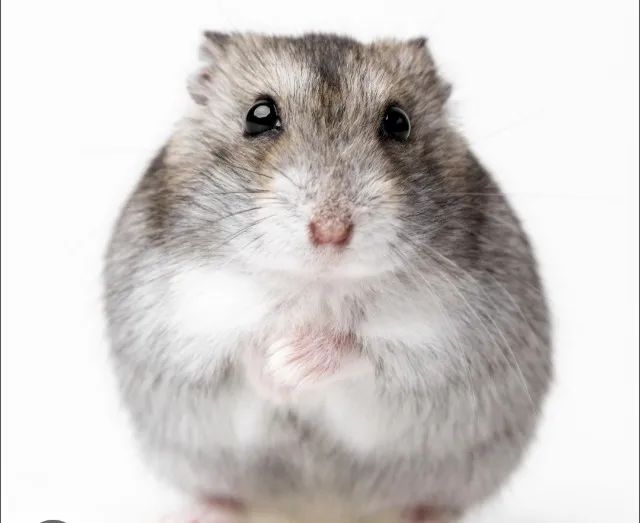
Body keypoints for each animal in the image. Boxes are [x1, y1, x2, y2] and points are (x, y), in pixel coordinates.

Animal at [104, 33, 552, 523]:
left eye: (398, 122)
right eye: (259, 116)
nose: (331, 232)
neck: (317, 283)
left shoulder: (441, 340)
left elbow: (361, 350)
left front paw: (292, 363)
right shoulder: (183, 321)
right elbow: (240, 349)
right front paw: (277, 370)